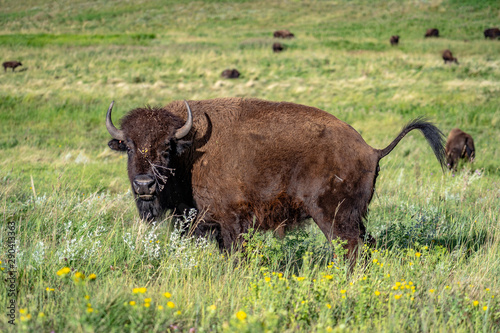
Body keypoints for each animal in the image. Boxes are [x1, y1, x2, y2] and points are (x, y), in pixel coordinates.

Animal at [105, 97, 446, 260]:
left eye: (166, 148)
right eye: (129, 147)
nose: (144, 185)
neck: (190, 150)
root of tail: (372, 149)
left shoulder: (231, 222)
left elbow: (236, 254)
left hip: (333, 216)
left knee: (349, 246)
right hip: (355, 216)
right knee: (365, 243)